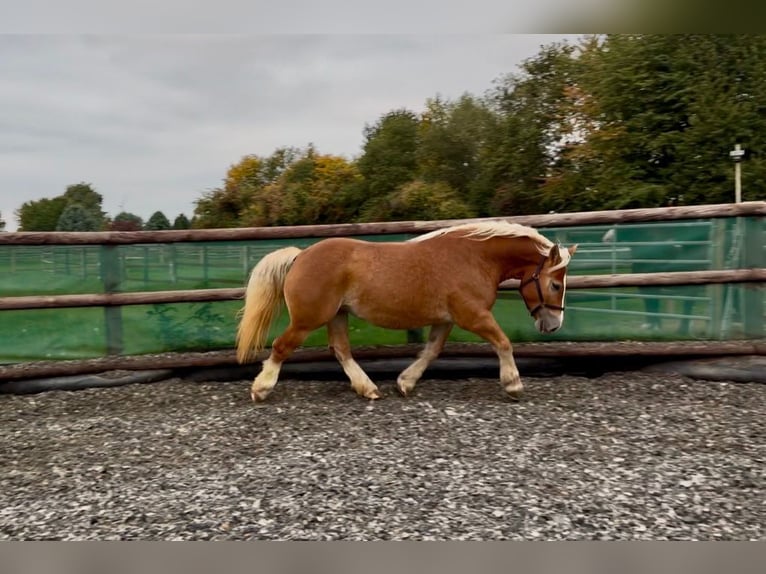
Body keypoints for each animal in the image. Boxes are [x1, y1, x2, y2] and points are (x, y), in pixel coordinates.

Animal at [236, 220, 577, 402]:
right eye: (555, 285)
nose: (554, 324)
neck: (474, 257)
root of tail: (300, 255)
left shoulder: (446, 320)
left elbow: (431, 351)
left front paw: (405, 382)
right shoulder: (473, 315)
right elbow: (503, 342)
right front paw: (513, 384)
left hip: (337, 315)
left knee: (341, 350)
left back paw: (368, 388)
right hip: (309, 319)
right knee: (282, 347)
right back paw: (261, 389)